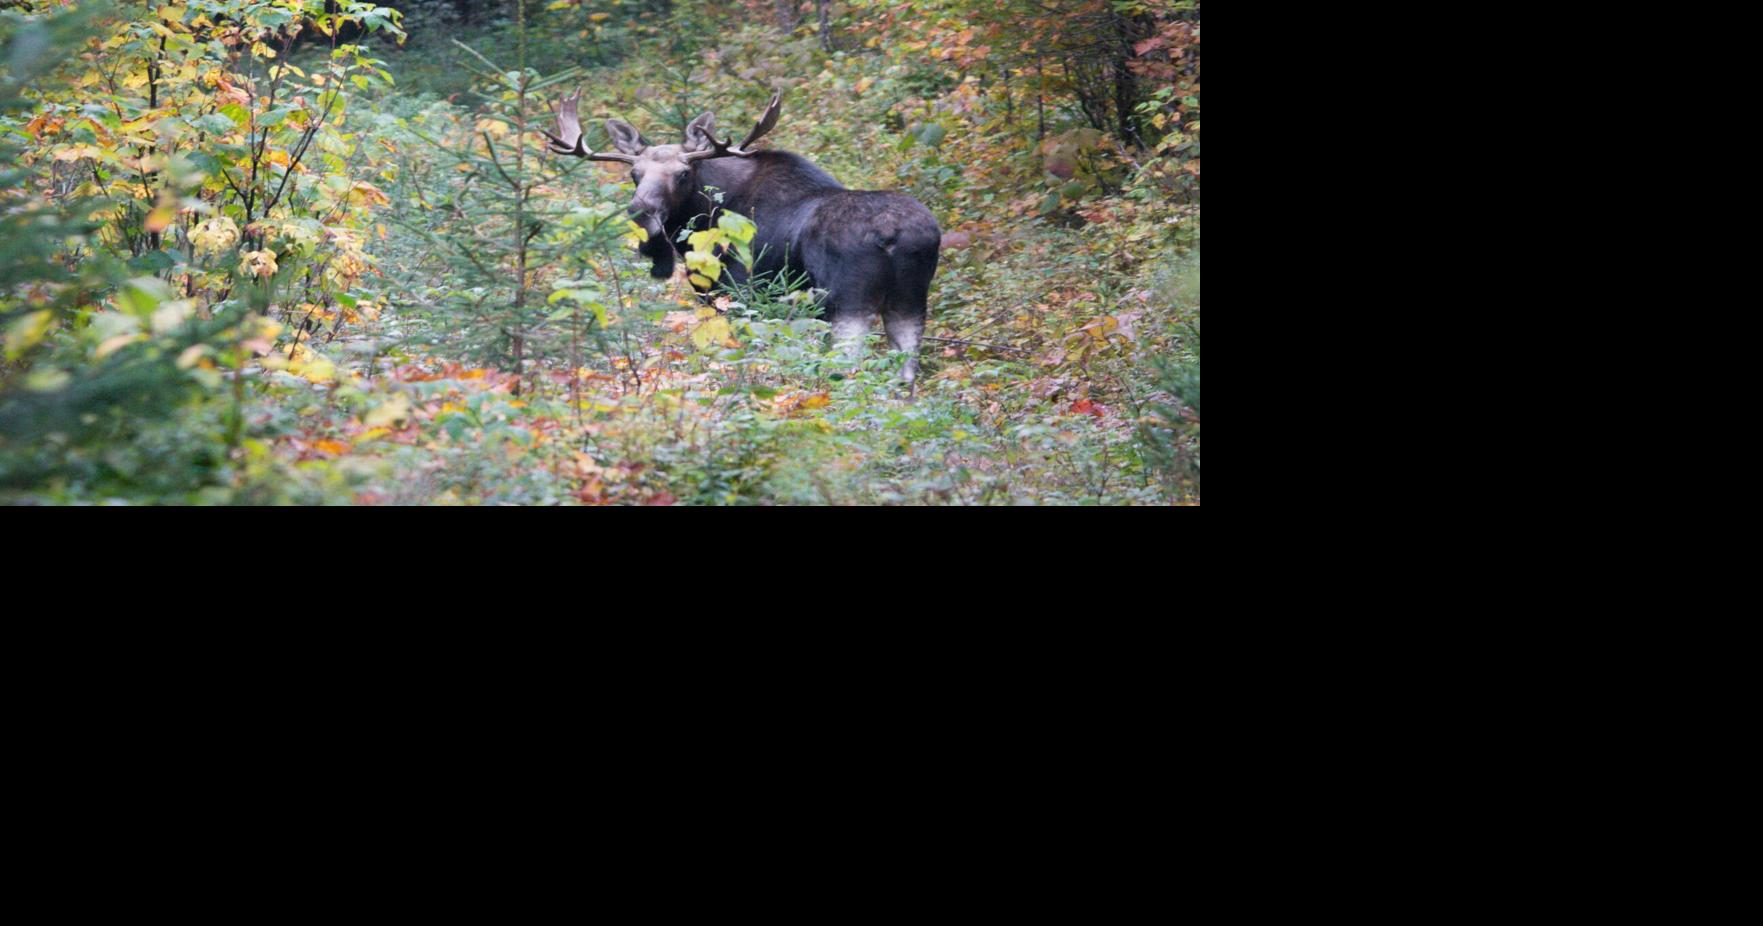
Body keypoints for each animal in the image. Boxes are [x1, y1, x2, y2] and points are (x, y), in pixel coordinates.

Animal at [542, 90, 941, 387]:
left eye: (684, 173)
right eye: (634, 174)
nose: (641, 213)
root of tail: (894, 236)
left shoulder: (736, 289)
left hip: (847, 299)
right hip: (909, 300)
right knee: (906, 372)